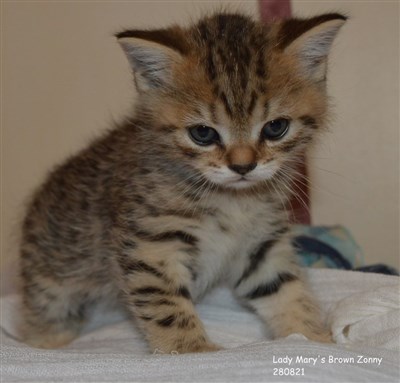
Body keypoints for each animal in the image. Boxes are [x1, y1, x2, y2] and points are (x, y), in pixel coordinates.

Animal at [20, 12, 346, 354]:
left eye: (276, 128)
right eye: (202, 133)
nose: (243, 166)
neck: (231, 199)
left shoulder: (262, 245)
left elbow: (287, 289)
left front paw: (315, 341)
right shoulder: (151, 245)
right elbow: (167, 307)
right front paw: (193, 351)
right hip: (52, 279)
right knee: (44, 313)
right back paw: (47, 343)